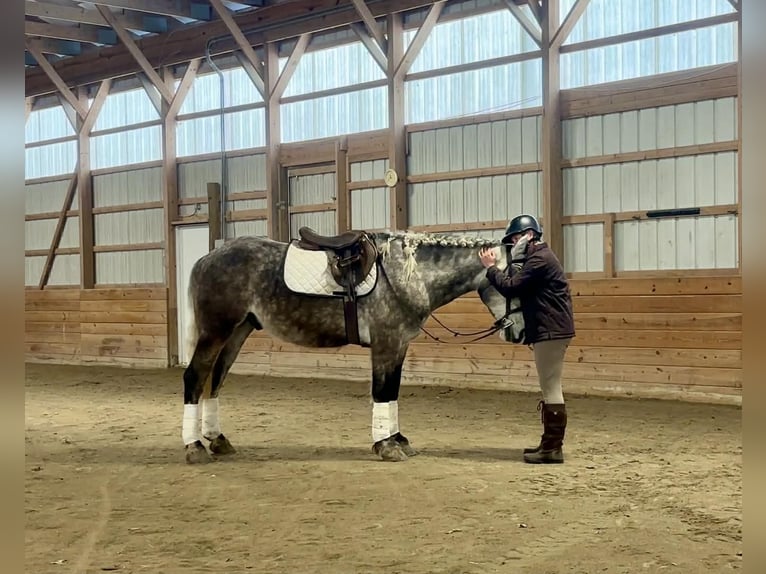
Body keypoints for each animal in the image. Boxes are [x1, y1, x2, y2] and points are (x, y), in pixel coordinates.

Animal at [180, 226, 513, 464]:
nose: (513, 330)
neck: (407, 274)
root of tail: (206, 259)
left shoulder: (398, 346)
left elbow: (392, 392)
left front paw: (397, 440)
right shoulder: (385, 344)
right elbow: (382, 392)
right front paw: (386, 446)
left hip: (238, 331)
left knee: (216, 378)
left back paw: (217, 439)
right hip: (216, 331)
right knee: (196, 377)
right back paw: (194, 447)